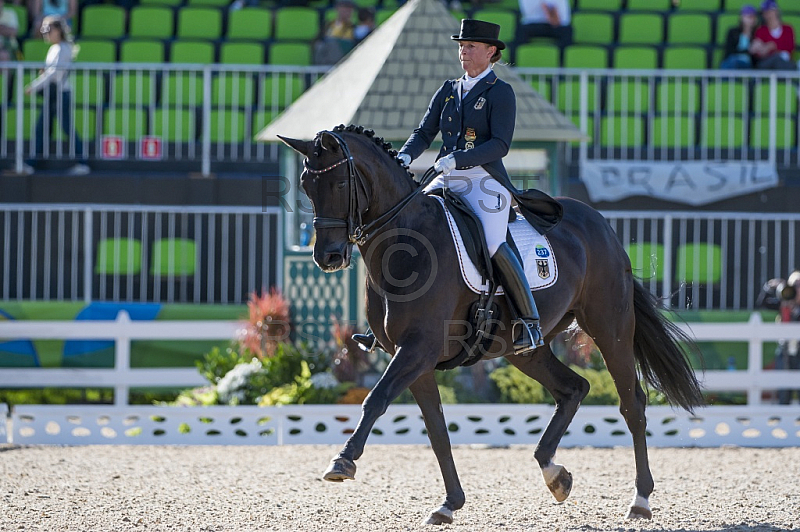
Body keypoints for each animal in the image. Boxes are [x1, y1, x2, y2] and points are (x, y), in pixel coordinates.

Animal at [278, 125, 704, 528]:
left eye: (339, 184)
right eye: (306, 185)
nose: (328, 257)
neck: (403, 243)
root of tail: (600, 224)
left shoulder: (418, 349)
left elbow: (375, 400)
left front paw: (342, 461)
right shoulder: (416, 359)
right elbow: (437, 431)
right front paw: (449, 504)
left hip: (610, 328)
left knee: (632, 404)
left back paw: (640, 500)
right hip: (522, 349)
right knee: (573, 389)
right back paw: (555, 474)